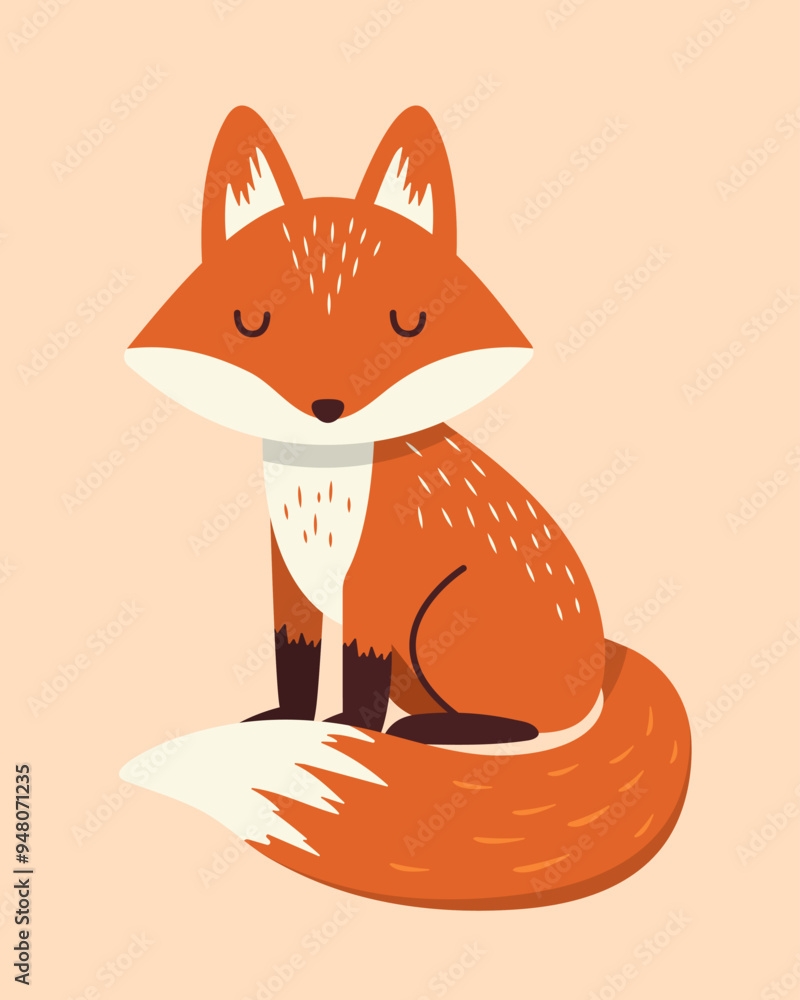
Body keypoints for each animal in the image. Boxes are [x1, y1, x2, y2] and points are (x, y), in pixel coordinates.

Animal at [121, 105, 691, 909]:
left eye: (409, 322)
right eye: (253, 321)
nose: (329, 408)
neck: (324, 502)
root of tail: (605, 666)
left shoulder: (380, 586)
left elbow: (358, 681)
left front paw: (349, 732)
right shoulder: (291, 576)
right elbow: (294, 661)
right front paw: (290, 720)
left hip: (441, 621)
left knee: (524, 727)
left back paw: (432, 732)